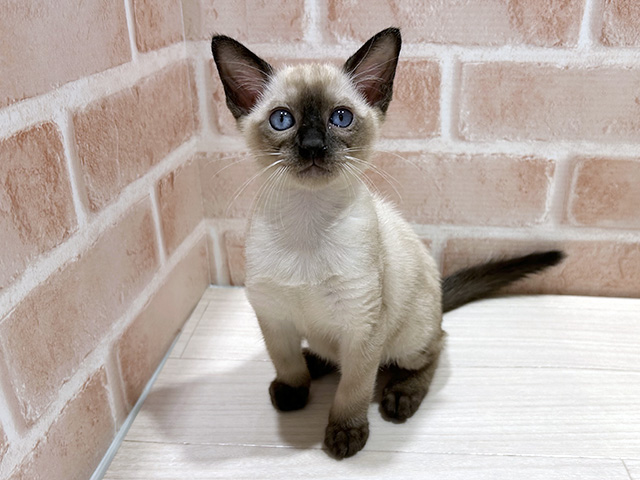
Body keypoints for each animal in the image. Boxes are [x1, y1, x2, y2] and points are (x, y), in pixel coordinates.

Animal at [211, 27, 564, 459]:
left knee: (432, 349)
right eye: (282, 120)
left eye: (340, 118)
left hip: (408, 336)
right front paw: (294, 392)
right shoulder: (273, 317)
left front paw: (345, 434)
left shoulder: (363, 328)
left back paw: (400, 398)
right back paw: (315, 362)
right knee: (327, 354)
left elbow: (354, 389)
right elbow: (287, 364)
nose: (312, 146)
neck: (308, 221)